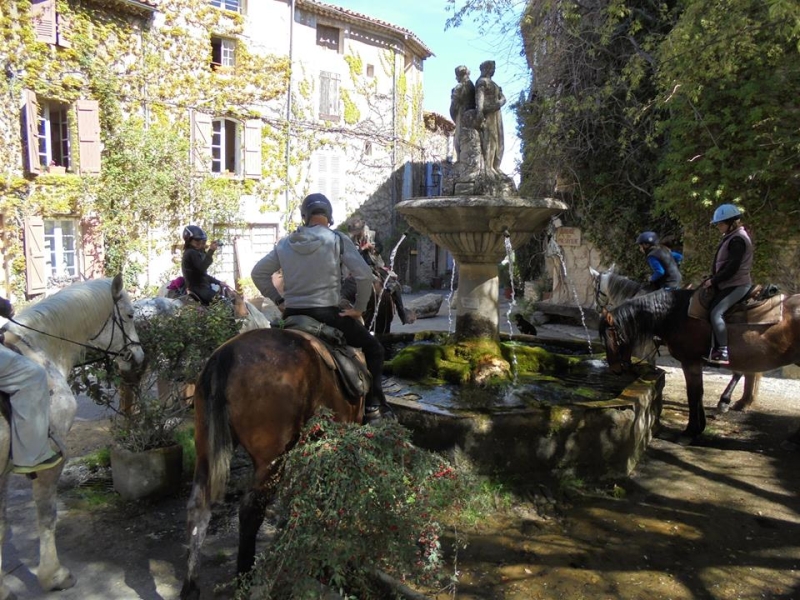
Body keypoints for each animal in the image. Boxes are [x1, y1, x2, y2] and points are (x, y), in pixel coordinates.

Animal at [0, 276, 145, 596]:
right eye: (130, 315)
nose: (139, 358)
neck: (40, 353)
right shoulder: (51, 460)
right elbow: (47, 514)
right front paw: (54, 575)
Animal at [180, 328, 362, 600]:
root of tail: (226, 355)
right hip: (270, 460)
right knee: (251, 511)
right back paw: (245, 577)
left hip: (204, 449)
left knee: (198, 508)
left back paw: (191, 586)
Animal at [596, 288, 800, 442]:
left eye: (612, 336)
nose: (614, 369)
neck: (675, 314)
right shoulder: (696, 363)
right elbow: (698, 393)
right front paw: (698, 428)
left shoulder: (690, 362)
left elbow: (693, 394)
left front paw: (690, 431)